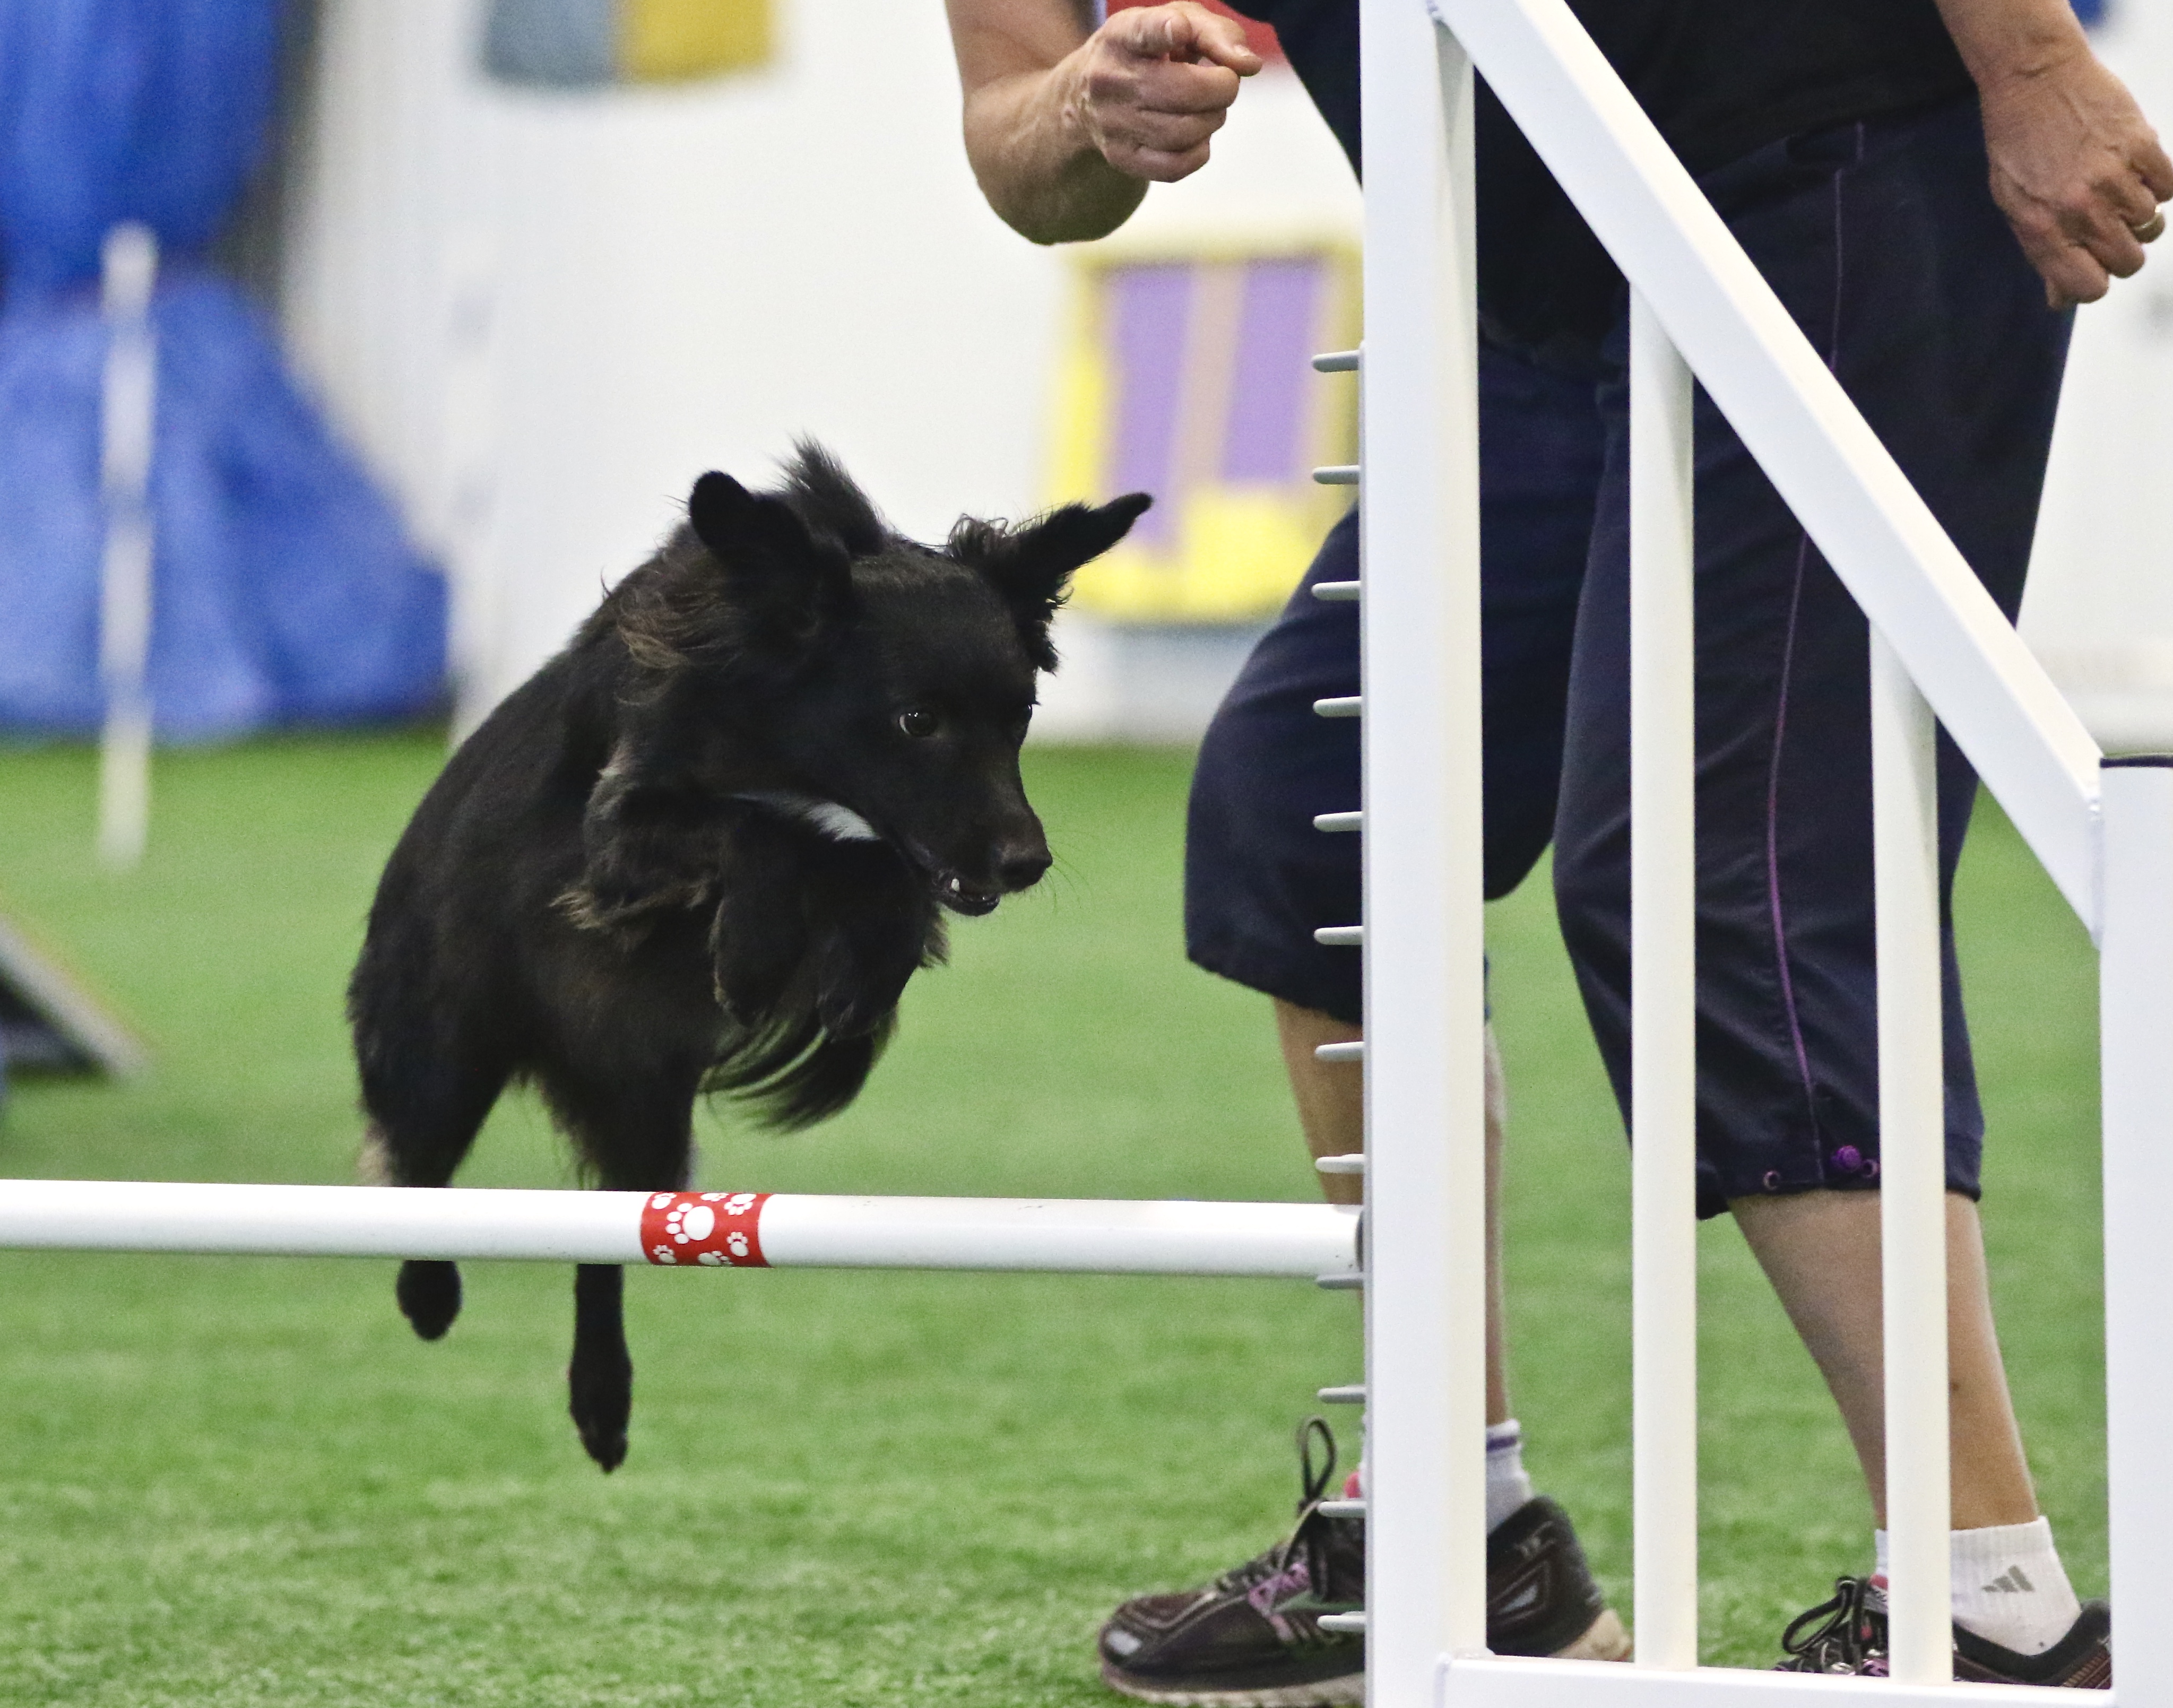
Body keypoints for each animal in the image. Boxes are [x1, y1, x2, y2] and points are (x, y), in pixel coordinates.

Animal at [348, 445, 1148, 1470]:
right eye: (915, 720)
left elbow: (872, 867)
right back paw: (429, 1291)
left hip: (645, 1119)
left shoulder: (896, 856)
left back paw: (602, 1400)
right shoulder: (619, 833)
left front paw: (853, 975)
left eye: (1022, 714)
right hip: (442, 1048)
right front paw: (758, 947)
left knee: (604, 1238)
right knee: (416, 1163)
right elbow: (762, 828)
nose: (1025, 860)